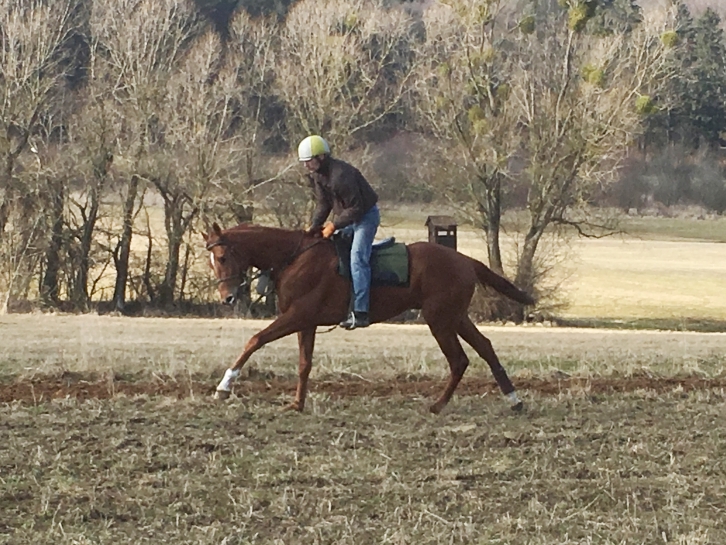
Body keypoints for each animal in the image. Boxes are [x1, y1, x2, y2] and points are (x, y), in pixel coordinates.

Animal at [203, 221, 536, 412]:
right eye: (212, 262)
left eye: (222, 257)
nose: (227, 297)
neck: (294, 257)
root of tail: (466, 260)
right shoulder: (305, 322)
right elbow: (304, 364)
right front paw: (297, 404)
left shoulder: (297, 316)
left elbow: (255, 340)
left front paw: (223, 388)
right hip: (456, 317)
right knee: (485, 348)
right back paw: (514, 400)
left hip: (440, 320)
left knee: (459, 360)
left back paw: (438, 405)